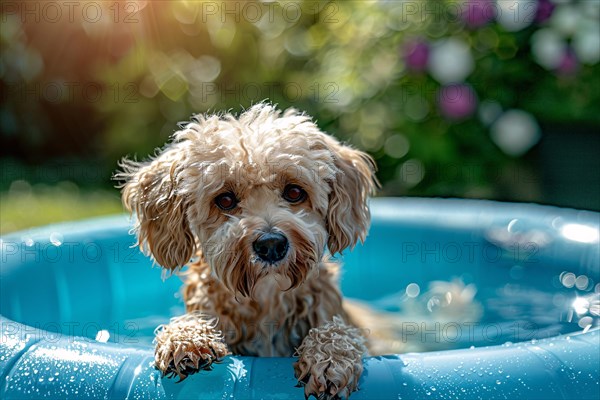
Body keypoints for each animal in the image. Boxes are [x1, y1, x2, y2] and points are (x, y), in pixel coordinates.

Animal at [117, 104, 378, 400]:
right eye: (225, 200)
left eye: (294, 192)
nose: (271, 244)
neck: (266, 298)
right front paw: (186, 337)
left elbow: (338, 330)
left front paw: (331, 356)